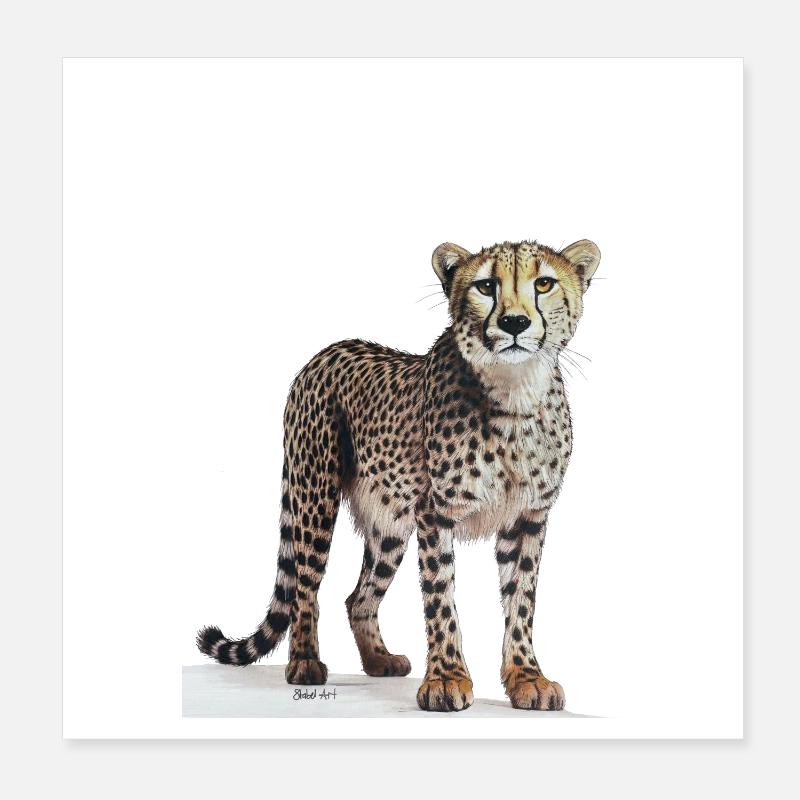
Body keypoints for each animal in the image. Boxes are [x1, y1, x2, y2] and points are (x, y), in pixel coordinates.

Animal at [197, 238, 600, 712]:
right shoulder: (435, 512)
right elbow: (441, 599)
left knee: (358, 596)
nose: (514, 322)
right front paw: (446, 680)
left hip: (388, 523)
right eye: (486, 285)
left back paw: (378, 659)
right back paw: (305, 662)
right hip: (315, 494)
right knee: (304, 585)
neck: (514, 393)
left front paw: (527, 678)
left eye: (543, 284)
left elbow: (522, 601)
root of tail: (327, 351)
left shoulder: (528, 517)